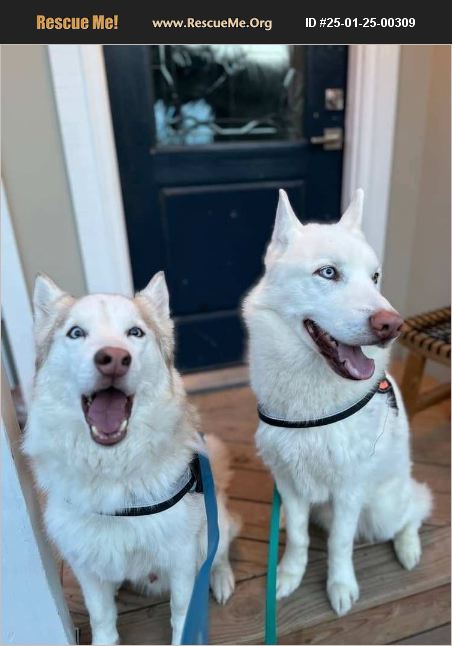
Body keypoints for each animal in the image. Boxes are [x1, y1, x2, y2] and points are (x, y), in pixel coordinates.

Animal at [24, 272, 239, 645]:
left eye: (135, 332)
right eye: (76, 332)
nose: (113, 358)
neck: (113, 473)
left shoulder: (181, 555)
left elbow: (182, 613)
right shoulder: (84, 562)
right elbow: (101, 617)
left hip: (216, 524)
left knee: (218, 552)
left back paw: (221, 578)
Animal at [243, 189, 432, 616]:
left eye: (375, 276)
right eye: (328, 273)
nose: (392, 326)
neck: (311, 409)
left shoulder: (349, 490)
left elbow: (339, 544)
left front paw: (340, 586)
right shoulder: (289, 484)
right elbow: (298, 537)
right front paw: (289, 575)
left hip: (382, 510)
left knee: (414, 510)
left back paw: (408, 547)